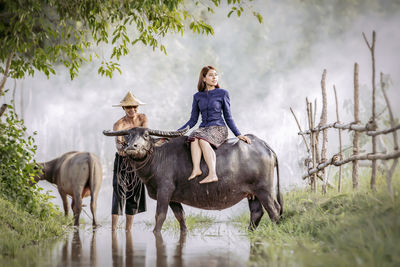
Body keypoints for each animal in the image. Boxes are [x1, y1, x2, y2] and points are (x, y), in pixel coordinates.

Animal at [103, 126, 282, 233]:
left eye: (146, 135)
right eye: (128, 136)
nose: (131, 147)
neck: (157, 159)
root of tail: (265, 146)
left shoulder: (164, 192)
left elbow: (160, 216)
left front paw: (155, 232)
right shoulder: (173, 198)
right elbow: (181, 217)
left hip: (264, 190)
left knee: (274, 210)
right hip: (252, 193)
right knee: (257, 212)